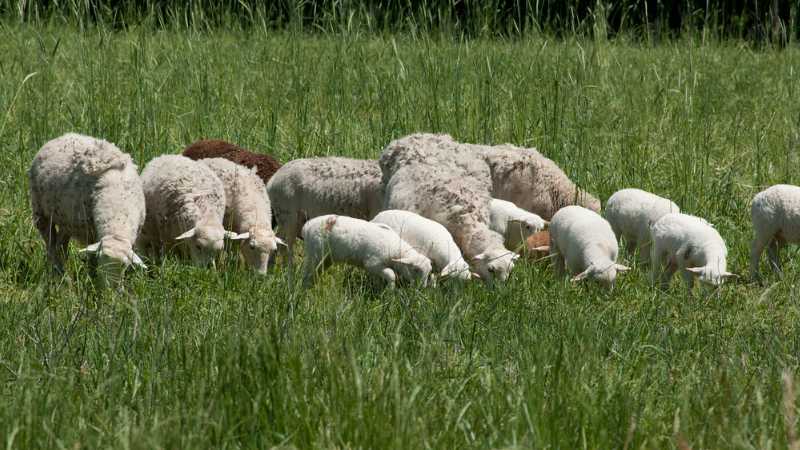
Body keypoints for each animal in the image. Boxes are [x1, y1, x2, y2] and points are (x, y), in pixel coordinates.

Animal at [28, 133, 147, 286]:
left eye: (124, 265)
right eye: (102, 260)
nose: (110, 289)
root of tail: (64, 135)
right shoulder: (90, 233)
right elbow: (91, 259)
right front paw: (92, 278)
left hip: (67, 220)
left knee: (61, 245)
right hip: (40, 212)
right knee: (50, 245)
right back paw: (58, 274)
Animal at [301, 214, 432, 289]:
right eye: (416, 270)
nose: (423, 288)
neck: (395, 248)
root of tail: (307, 226)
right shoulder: (373, 264)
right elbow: (391, 275)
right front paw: (390, 290)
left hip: (327, 258)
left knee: (316, 272)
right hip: (315, 253)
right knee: (307, 273)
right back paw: (305, 289)